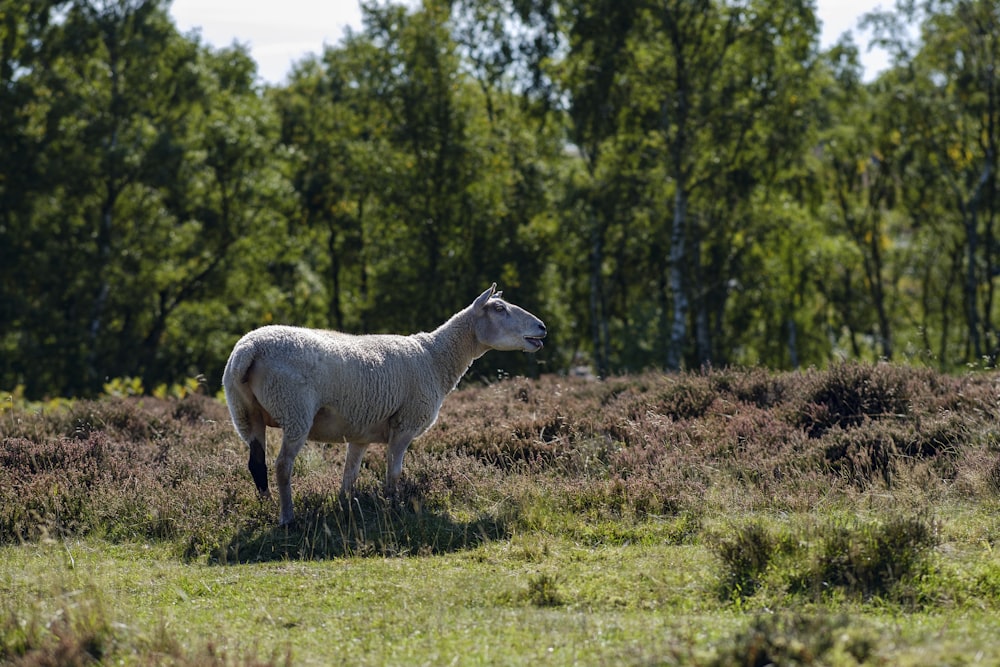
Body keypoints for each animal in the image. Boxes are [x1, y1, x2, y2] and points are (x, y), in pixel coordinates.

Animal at [223, 284, 548, 524]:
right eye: (499, 308)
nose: (542, 327)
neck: (434, 358)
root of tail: (249, 349)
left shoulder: (360, 432)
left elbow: (350, 474)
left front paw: (345, 507)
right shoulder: (405, 423)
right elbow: (393, 472)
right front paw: (393, 505)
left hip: (245, 413)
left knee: (257, 464)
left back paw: (266, 508)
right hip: (294, 409)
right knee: (282, 466)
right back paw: (287, 518)